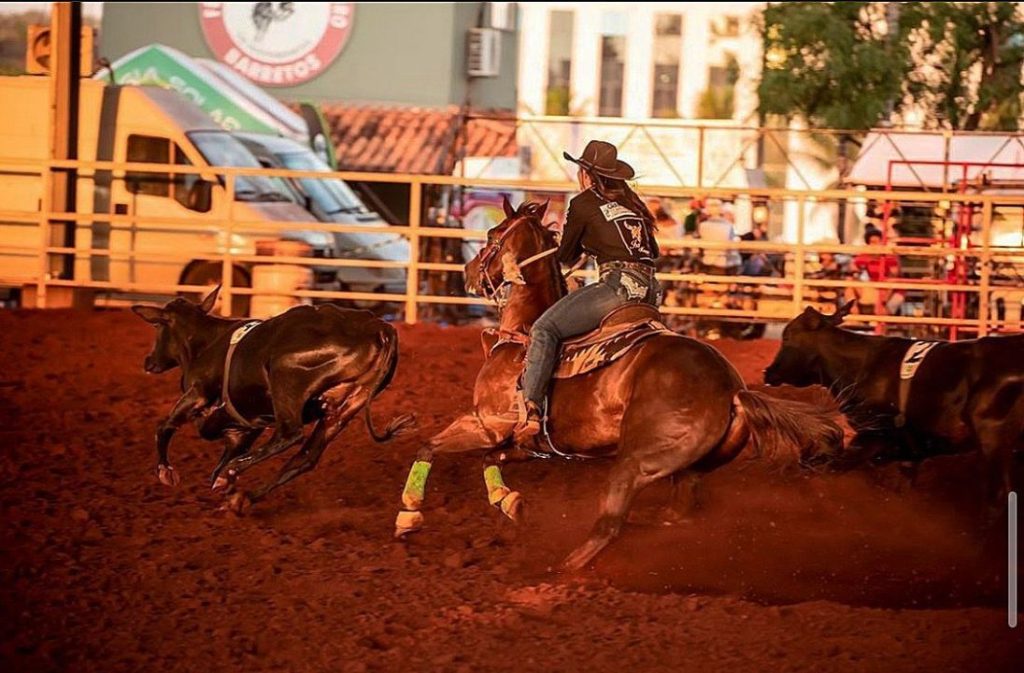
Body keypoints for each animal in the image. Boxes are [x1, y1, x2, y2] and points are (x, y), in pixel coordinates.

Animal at [132, 286, 411, 512]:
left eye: (158, 326)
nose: (148, 361)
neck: (206, 344)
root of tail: (380, 327)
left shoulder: (197, 394)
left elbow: (165, 426)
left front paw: (166, 471)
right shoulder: (242, 428)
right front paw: (223, 485)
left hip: (285, 373)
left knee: (289, 435)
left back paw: (233, 473)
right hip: (346, 406)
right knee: (305, 457)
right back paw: (241, 496)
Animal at [393, 199, 839, 565]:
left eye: (491, 235)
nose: (467, 271)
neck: (521, 334)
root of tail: (733, 389)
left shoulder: (487, 423)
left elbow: (429, 445)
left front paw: (408, 514)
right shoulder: (518, 443)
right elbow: (489, 460)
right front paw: (509, 501)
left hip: (636, 463)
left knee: (610, 525)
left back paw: (561, 570)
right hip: (686, 470)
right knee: (673, 516)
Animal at [765, 301, 1019, 516]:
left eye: (786, 336)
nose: (767, 372)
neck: (862, 366)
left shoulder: (873, 436)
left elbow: (831, 465)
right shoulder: (910, 450)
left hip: (992, 436)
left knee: (997, 497)